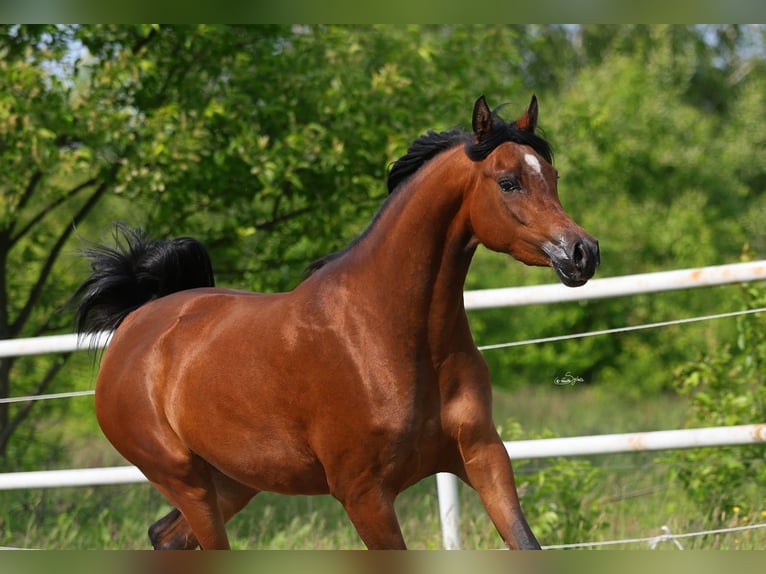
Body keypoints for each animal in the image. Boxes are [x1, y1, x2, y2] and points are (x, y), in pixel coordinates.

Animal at [73, 95, 599, 550]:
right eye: (508, 181)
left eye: (551, 176)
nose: (582, 252)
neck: (390, 333)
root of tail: (136, 325)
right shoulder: (363, 495)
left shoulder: (483, 456)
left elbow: (527, 544)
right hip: (186, 480)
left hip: (235, 479)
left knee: (166, 536)